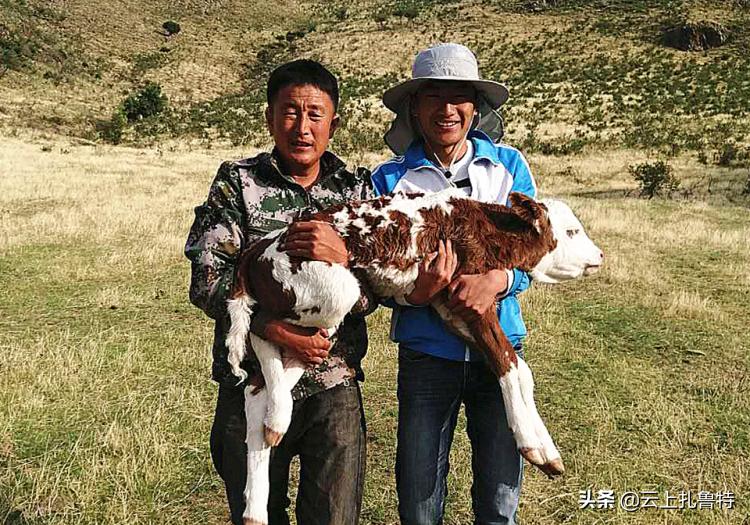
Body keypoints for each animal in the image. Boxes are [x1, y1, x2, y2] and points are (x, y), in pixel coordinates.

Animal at [228, 189, 604, 524]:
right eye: (572, 231)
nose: (599, 255)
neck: (482, 224)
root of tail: (258, 247)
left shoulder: (452, 309)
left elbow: (519, 367)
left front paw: (548, 452)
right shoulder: (473, 297)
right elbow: (508, 366)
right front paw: (529, 443)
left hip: (325, 317)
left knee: (259, 389)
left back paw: (257, 497)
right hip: (330, 290)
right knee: (260, 328)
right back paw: (277, 423)